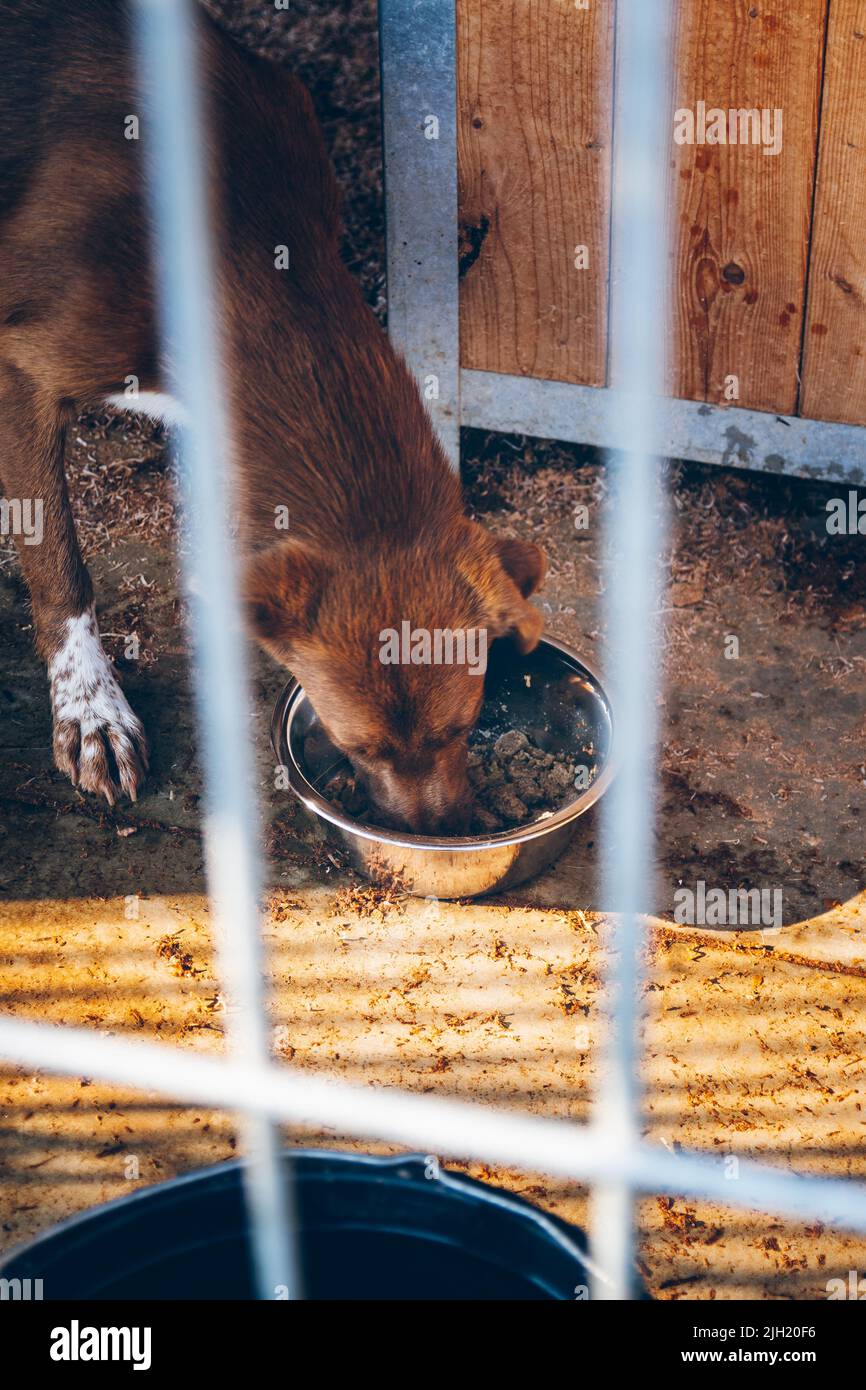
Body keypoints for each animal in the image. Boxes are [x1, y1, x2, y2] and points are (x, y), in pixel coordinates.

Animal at [0, 0, 544, 828]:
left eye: (463, 726)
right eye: (360, 747)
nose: (437, 834)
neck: (239, 246)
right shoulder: (23, 367)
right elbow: (57, 561)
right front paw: (92, 713)